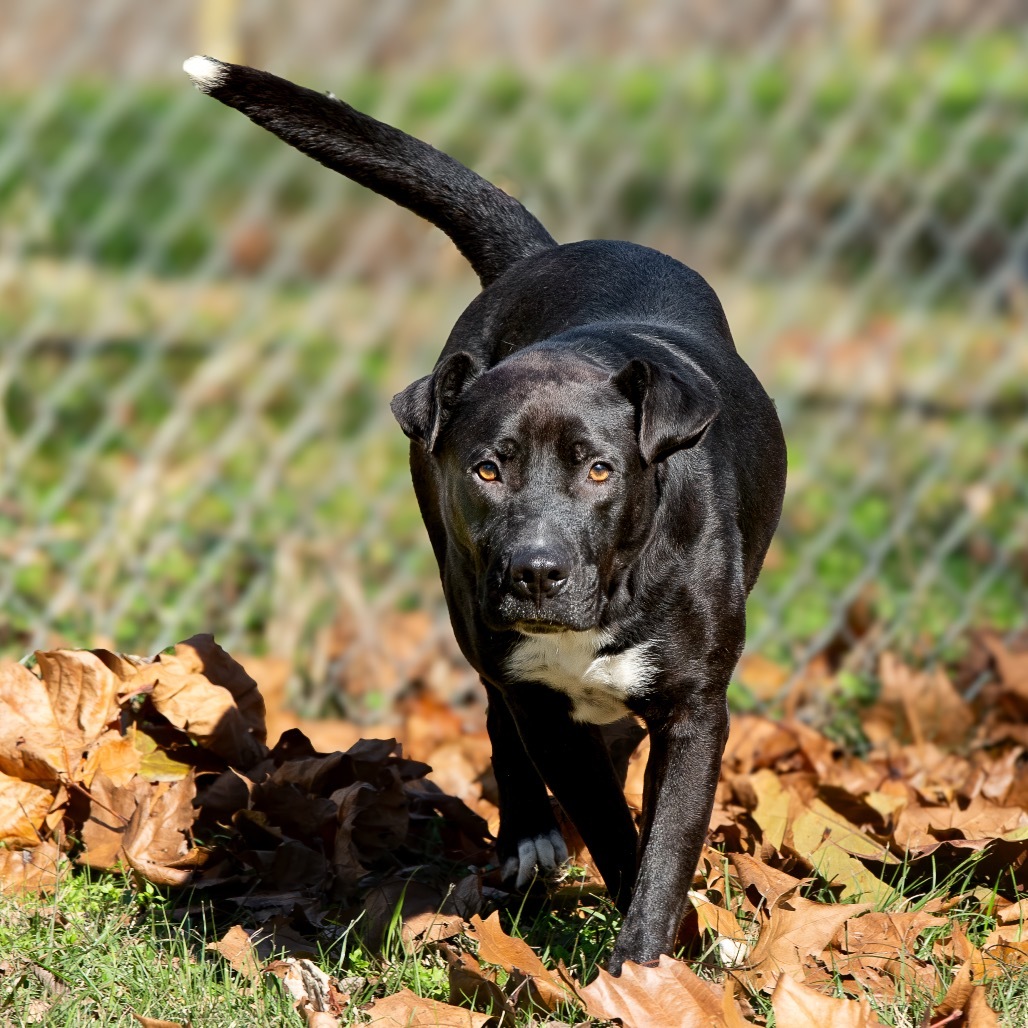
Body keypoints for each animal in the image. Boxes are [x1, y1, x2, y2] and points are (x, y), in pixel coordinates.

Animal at [185, 56, 785, 970]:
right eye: (488, 470)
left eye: (601, 470)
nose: (536, 572)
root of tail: (542, 255)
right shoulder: (538, 696)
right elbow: (613, 829)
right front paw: (640, 958)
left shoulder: (694, 708)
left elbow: (662, 846)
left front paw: (645, 966)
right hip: (464, 601)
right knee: (500, 711)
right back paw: (529, 836)